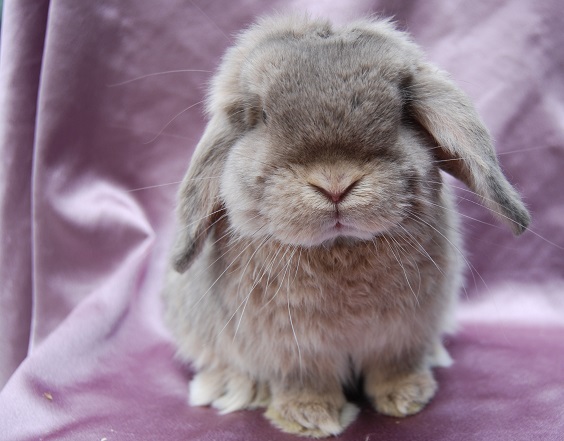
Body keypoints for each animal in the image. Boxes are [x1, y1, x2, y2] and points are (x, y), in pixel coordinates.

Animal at [161, 12, 532, 436]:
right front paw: (311, 417)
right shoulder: (293, 351)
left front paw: (407, 398)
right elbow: (304, 381)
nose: (335, 186)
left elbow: (393, 368)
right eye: (262, 116)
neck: (340, 248)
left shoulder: (401, 337)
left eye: (401, 112)